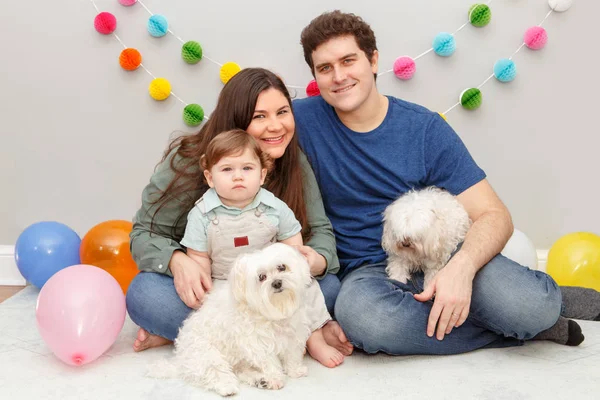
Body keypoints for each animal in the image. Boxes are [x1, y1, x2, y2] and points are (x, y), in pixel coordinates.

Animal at [148, 244, 312, 396]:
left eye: (282, 267)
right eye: (261, 277)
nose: (277, 283)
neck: (273, 313)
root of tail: (180, 360)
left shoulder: (293, 337)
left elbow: (292, 356)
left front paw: (295, 370)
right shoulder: (256, 343)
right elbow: (269, 362)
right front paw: (275, 378)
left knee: (240, 371)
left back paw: (259, 379)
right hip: (206, 354)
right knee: (215, 372)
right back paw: (227, 387)